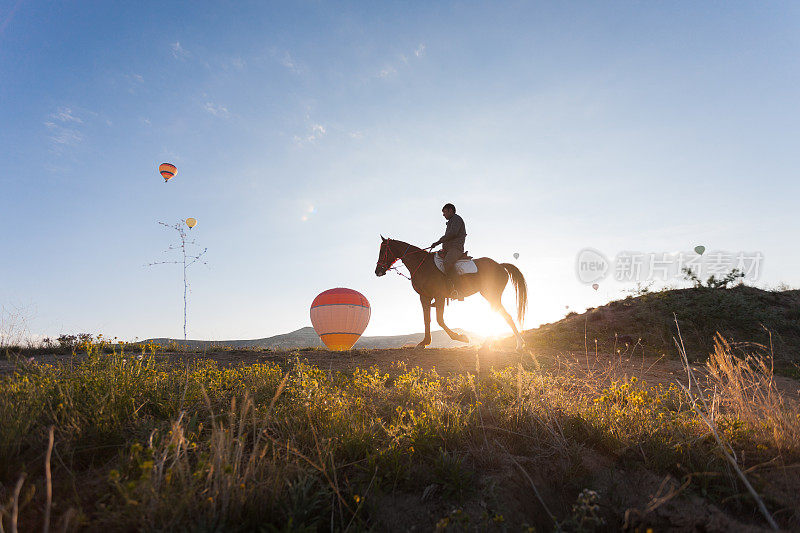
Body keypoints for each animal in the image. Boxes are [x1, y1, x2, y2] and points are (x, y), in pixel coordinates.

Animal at [376, 236, 528, 350]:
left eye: (383, 250)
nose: (378, 271)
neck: (421, 265)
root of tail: (500, 265)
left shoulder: (439, 296)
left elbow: (440, 320)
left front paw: (460, 337)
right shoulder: (424, 297)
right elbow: (427, 319)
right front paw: (424, 342)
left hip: (492, 295)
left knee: (502, 315)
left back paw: (503, 343)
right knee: (503, 315)